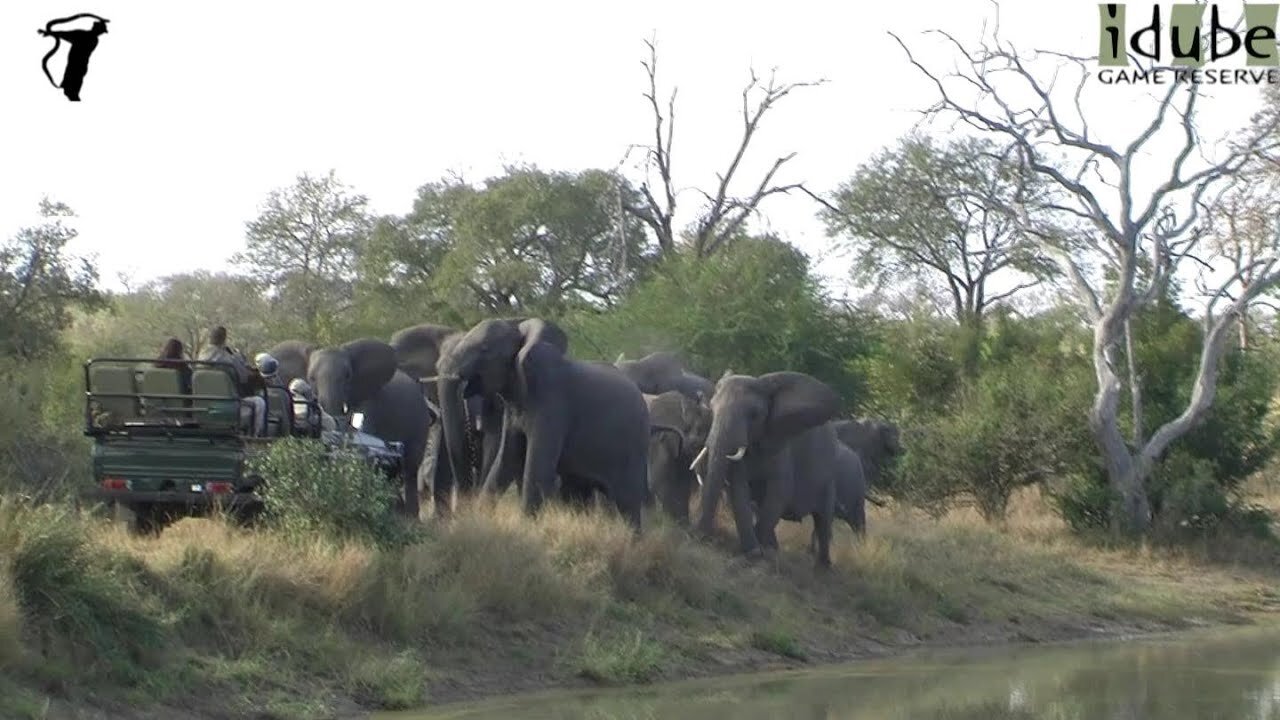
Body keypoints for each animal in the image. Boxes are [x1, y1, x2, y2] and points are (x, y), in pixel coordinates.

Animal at [437, 316, 650, 530]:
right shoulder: (514, 408)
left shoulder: (551, 400)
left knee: (627, 504)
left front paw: (525, 531)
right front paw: (480, 521)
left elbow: (537, 468)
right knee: (578, 493)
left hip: (634, 447)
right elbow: (505, 460)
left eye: (484, 349)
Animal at [696, 368, 844, 566]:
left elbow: (779, 492)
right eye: (711, 409)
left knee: (824, 520)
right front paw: (755, 551)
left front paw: (756, 553)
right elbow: (740, 490)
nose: (701, 536)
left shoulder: (782, 446)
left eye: (754, 415)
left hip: (829, 478)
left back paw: (822, 567)